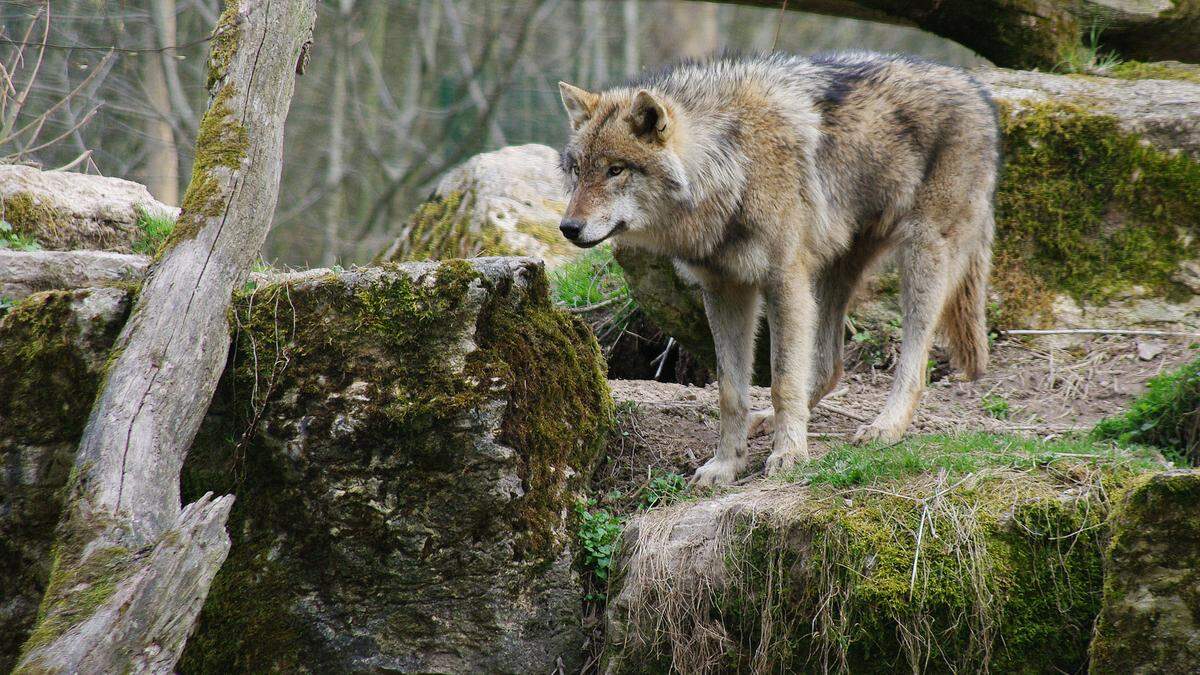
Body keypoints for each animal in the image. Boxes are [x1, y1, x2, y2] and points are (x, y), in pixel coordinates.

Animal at [556, 52, 998, 482]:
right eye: (578, 170)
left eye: (615, 170)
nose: (567, 228)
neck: (733, 165)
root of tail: (977, 90)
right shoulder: (724, 290)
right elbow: (731, 391)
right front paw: (726, 464)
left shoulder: (783, 282)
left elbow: (782, 380)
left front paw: (789, 454)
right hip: (832, 269)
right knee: (830, 366)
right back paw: (768, 420)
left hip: (920, 257)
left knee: (915, 362)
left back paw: (885, 427)